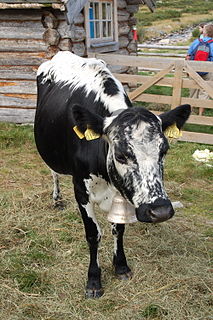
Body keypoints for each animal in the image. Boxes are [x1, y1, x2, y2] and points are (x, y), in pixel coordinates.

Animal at [34, 51, 191, 298]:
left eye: (164, 150)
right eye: (121, 155)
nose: (160, 211)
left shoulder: (122, 193)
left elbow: (119, 228)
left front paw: (121, 266)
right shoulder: (81, 189)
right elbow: (93, 233)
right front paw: (93, 279)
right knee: (54, 172)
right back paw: (57, 199)